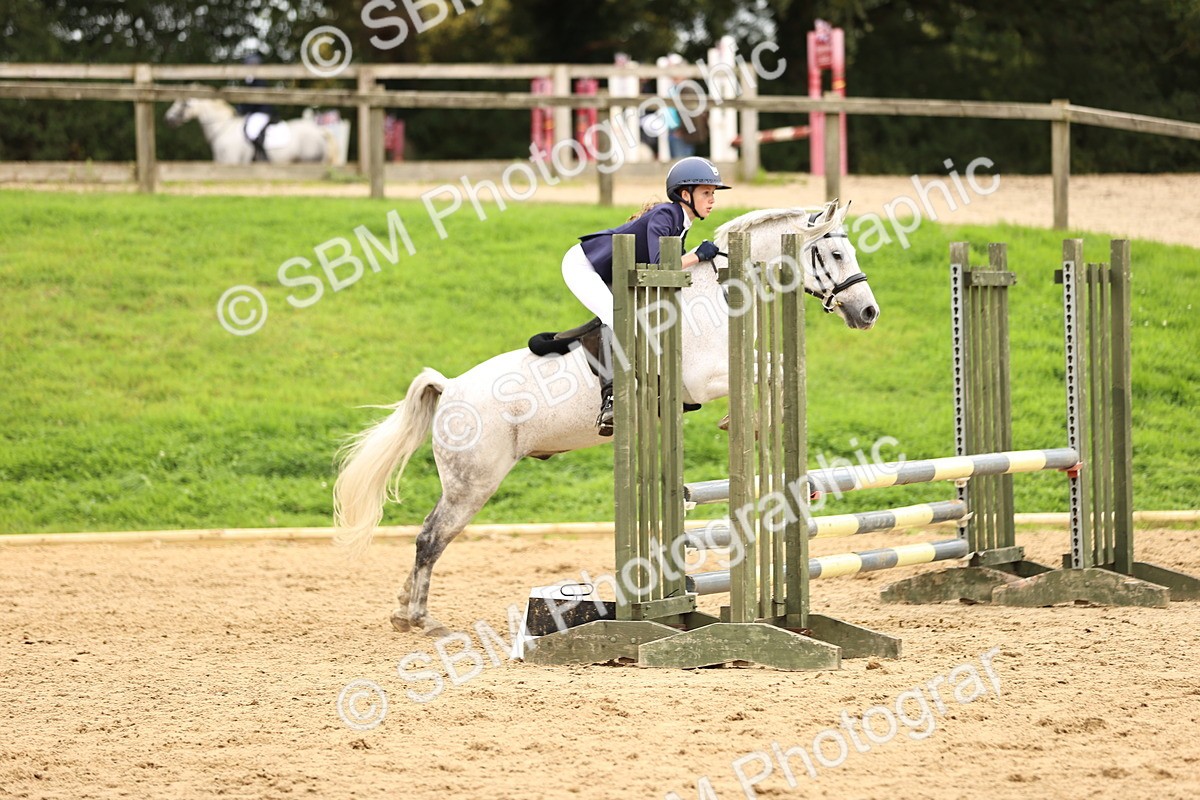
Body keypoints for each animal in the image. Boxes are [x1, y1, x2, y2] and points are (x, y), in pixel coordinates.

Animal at [333, 200, 879, 636]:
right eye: (834, 255)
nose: (868, 312)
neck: (717, 295)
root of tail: (448, 388)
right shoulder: (701, 378)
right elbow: (768, 368)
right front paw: (740, 423)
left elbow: (775, 368)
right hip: (473, 483)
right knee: (430, 538)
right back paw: (421, 619)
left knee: (428, 536)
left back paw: (402, 612)